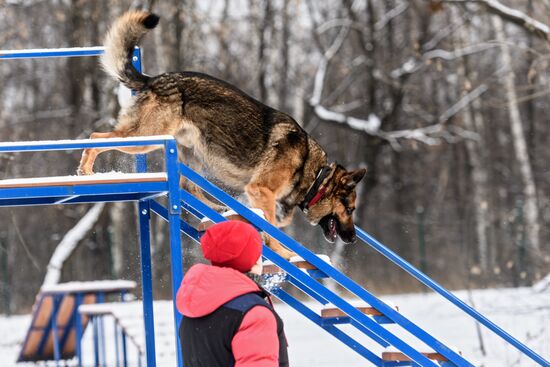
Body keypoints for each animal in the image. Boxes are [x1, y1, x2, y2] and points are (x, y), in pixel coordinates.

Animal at [77, 10, 368, 258]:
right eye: (350, 209)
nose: (353, 239)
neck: (314, 173)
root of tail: (154, 78)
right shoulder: (261, 190)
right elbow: (274, 227)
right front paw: (283, 251)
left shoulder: (261, 196)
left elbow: (272, 221)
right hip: (143, 140)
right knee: (97, 137)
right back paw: (86, 171)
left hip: (190, 153)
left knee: (189, 185)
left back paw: (218, 209)